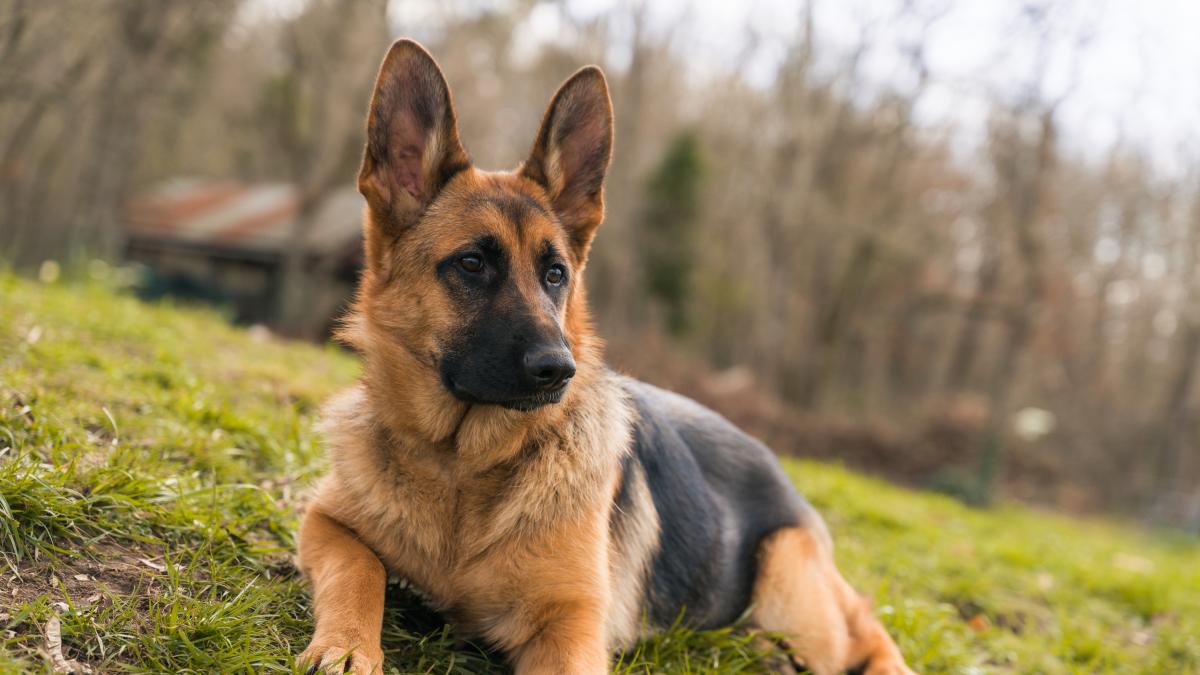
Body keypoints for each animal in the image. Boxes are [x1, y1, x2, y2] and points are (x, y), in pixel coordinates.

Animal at [295, 38, 912, 672]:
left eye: (555, 274)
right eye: (471, 263)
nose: (558, 370)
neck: (461, 466)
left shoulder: (571, 625)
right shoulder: (325, 522)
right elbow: (358, 568)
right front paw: (347, 644)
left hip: (792, 599)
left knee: (865, 630)